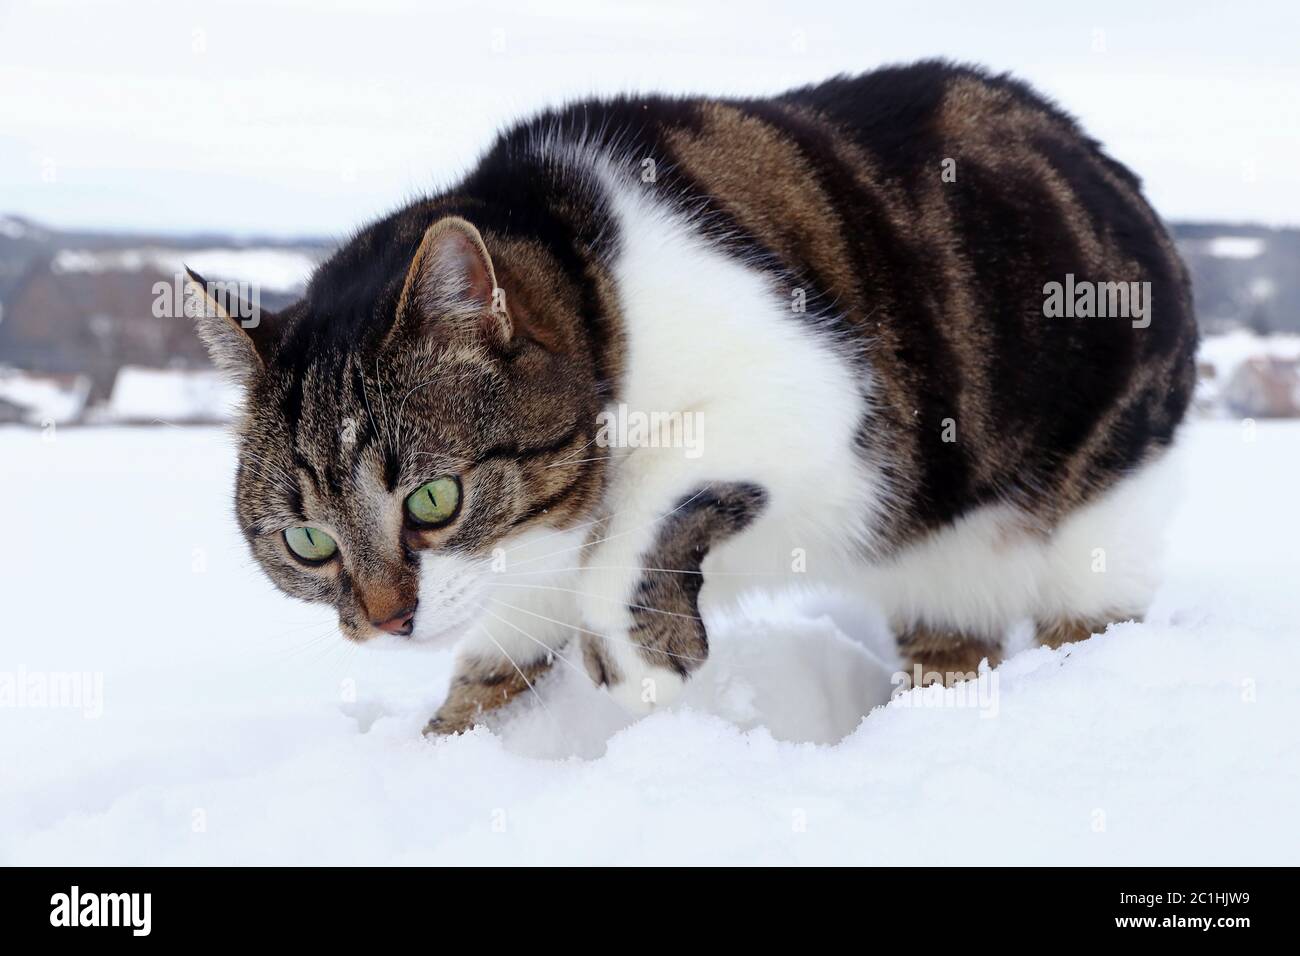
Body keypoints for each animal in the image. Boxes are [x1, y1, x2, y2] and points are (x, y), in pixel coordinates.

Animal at [189, 61, 1196, 733]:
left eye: (434, 500)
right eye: (307, 543)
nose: (387, 621)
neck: (590, 271)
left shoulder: (823, 398)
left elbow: (638, 516)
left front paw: (643, 664)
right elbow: (494, 662)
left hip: (1097, 518)